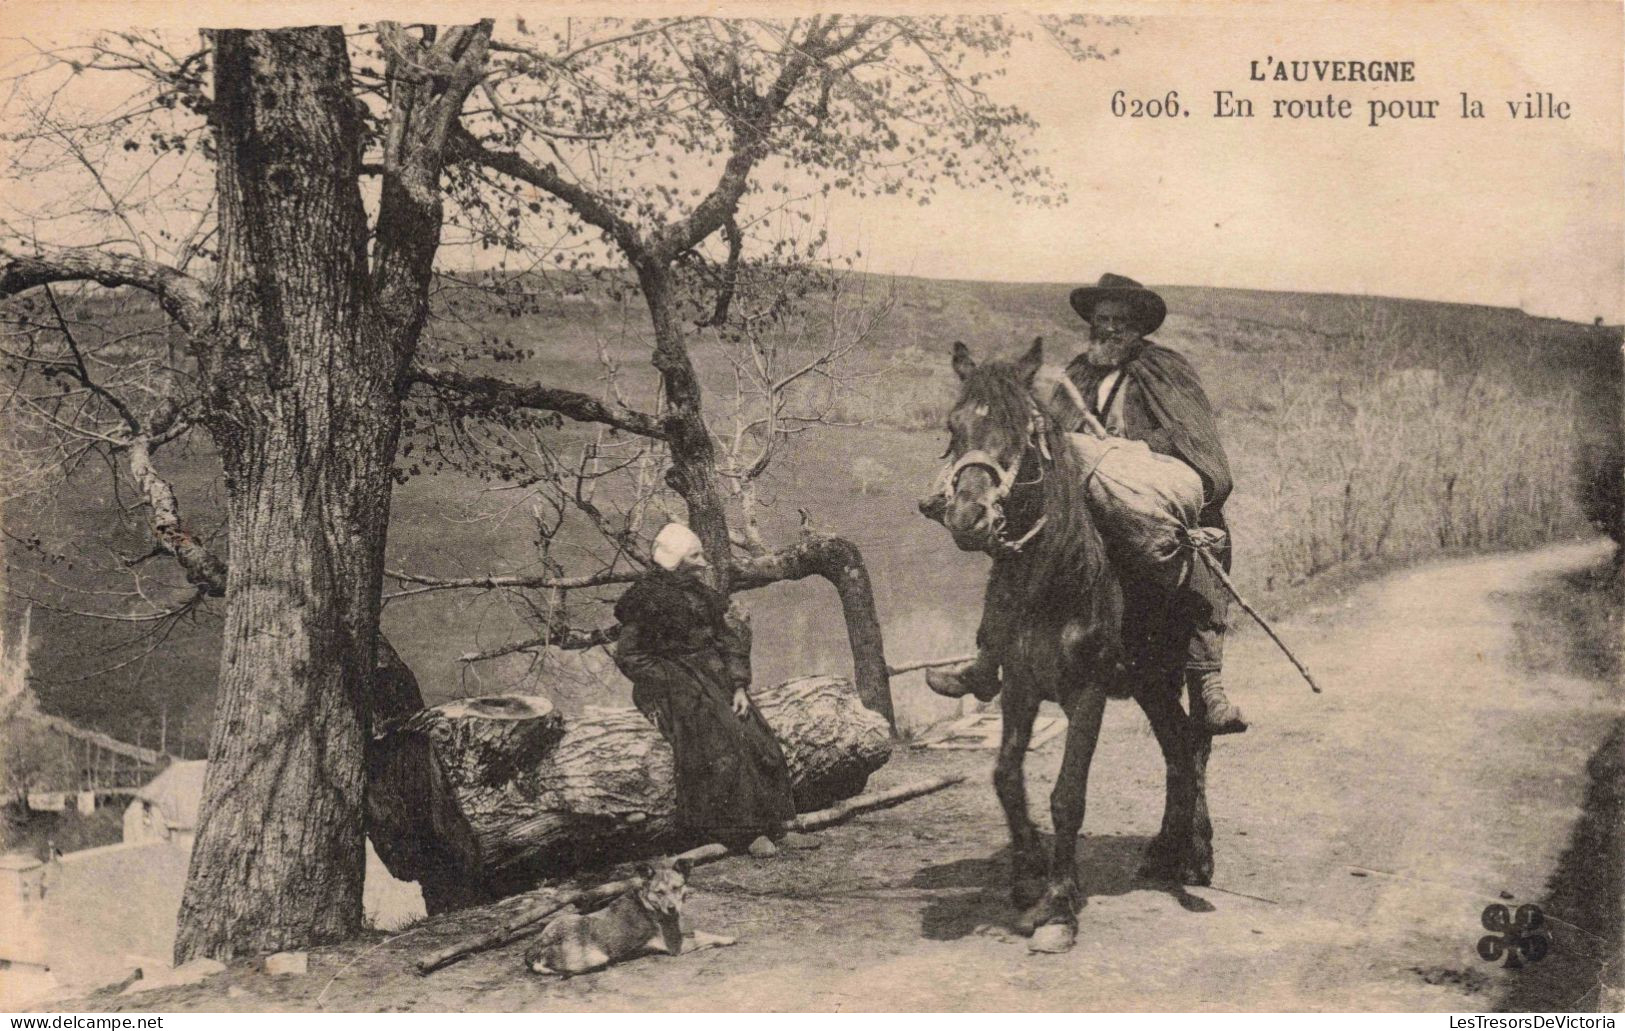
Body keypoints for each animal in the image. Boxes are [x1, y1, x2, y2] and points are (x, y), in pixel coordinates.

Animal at [523, 852, 734, 975]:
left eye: (676, 888)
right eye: (659, 892)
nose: (672, 908)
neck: (651, 905)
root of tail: (538, 945)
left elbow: (700, 933)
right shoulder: (677, 946)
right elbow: (705, 937)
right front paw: (726, 938)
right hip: (595, 957)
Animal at [923, 339, 1215, 949]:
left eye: (1022, 429)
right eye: (953, 427)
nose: (966, 517)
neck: (1057, 581)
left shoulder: (1088, 694)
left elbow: (1067, 794)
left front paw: (1059, 906)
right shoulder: (1020, 686)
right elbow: (1006, 778)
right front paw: (1028, 875)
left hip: (1161, 675)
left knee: (1193, 744)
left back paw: (1196, 853)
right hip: (1147, 686)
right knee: (1179, 749)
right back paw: (1165, 852)